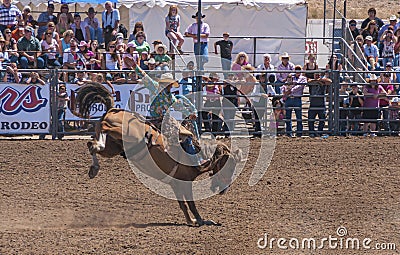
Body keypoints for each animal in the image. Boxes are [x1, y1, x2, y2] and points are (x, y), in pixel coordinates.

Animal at [76, 81, 241, 225]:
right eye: (230, 166)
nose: (225, 189)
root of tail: (112, 109)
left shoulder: (176, 184)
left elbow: (183, 205)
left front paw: (191, 221)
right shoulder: (185, 182)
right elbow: (191, 204)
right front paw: (200, 221)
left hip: (112, 148)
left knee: (93, 145)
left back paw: (94, 164)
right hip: (124, 134)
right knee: (102, 131)